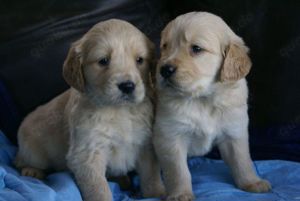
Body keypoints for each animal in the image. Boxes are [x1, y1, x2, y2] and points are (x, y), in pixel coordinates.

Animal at [14, 18, 164, 201]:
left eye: (139, 60)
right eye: (103, 61)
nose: (127, 86)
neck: (118, 110)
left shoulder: (145, 144)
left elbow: (152, 176)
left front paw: (157, 194)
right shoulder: (87, 154)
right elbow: (99, 189)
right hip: (33, 152)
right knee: (19, 161)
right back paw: (32, 171)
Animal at [154, 11, 270, 200]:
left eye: (196, 49)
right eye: (165, 46)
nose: (164, 70)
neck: (202, 99)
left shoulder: (234, 131)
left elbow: (242, 160)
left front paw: (252, 182)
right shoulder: (169, 136)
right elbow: (178, 171)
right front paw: (180, 194)